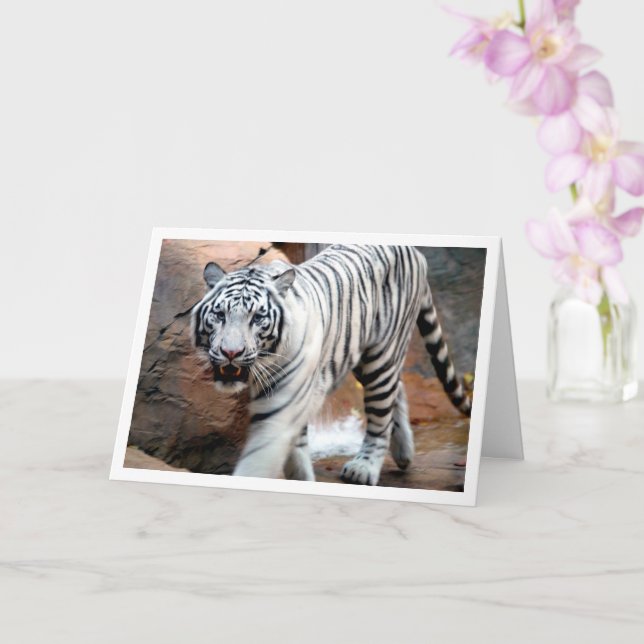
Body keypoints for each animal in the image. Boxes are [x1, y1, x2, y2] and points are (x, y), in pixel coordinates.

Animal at [192, 244, 471, 486]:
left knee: (381, 414)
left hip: (381, 355)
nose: (231, 352)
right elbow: (295, 451)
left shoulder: (283, 398)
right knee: (397, 388)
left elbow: (262, 453)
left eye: (258, 318)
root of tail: (413, 249)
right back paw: (404, 452)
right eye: (219, 315)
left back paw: (364, 468)